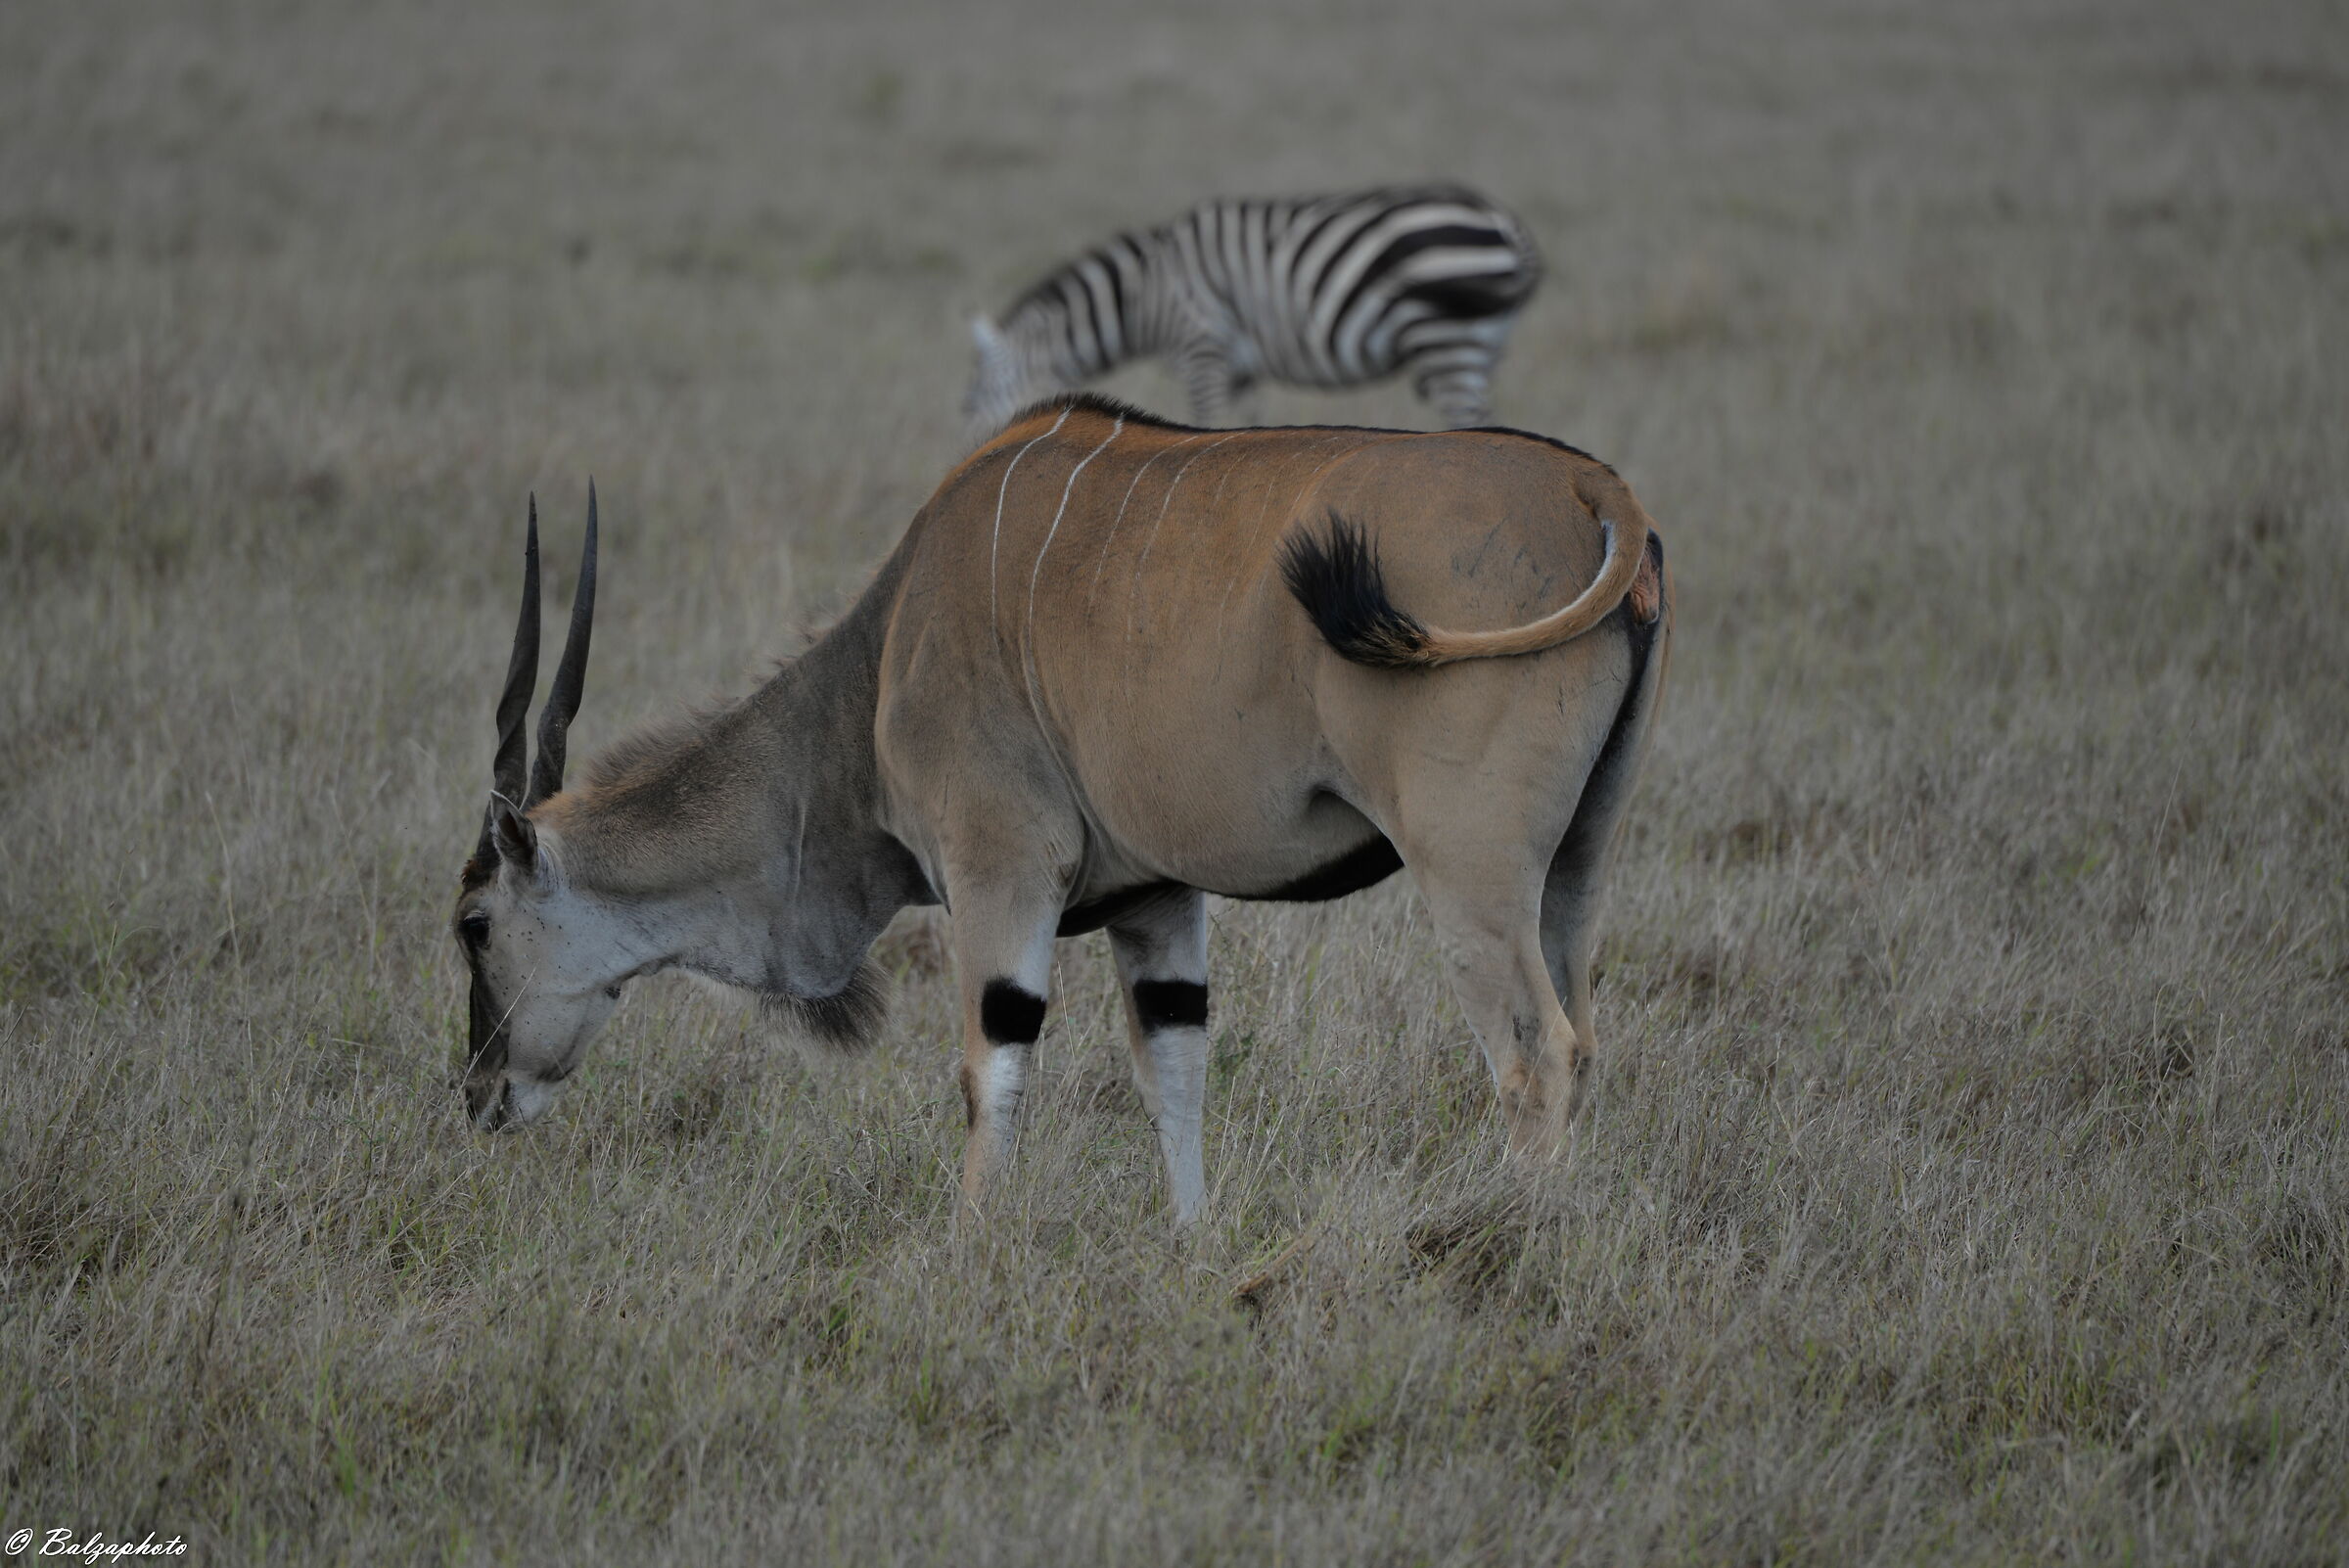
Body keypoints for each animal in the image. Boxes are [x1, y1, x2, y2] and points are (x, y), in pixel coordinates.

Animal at [454, 397, 1670, 1222]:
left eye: (472, 925)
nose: (478, 1096)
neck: (878, 660)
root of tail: (1590, 489)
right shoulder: (1157, 900)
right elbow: (1174, 1068)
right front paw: (1194, 1251)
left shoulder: (1000, 870)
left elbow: (990, 1068)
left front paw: (966, 1260)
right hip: (1574, 870)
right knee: (1583, 1035)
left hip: (1468, 875)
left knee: (1536, 1051)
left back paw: (1516, 1242)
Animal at [964, 184, 1542, 438]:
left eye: (977, 400)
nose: (964, 457)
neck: (1143, 297)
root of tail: (1505, 222)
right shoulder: (1239, 367)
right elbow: (1243, 426)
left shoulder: (1200, 347)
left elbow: (1204, 420)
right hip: (1481, 342)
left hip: (1449, 340)